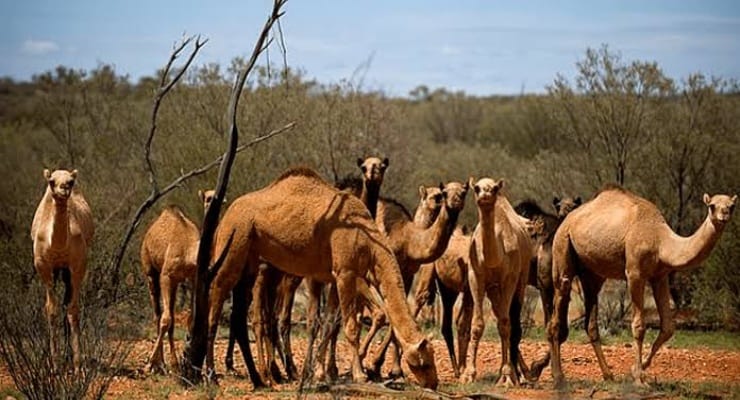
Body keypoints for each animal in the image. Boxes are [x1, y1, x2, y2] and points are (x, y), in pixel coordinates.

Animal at [31, 168, 94, 368]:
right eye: (51, 181)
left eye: (71, 182)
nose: (64, 188)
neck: (57, 246)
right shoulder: (43, 266)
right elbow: (51, 310)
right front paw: (55, 364)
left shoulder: (77, 265)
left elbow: (73, 310)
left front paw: (77, 364)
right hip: (58, 270)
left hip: (66, 271)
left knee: (67, 302)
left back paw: (69, 355)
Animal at [140, 189, 217, 374]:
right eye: (207, 198)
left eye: (216, 196)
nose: (214, 200)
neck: (189, 251)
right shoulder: (166, 276)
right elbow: (165, 319)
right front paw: (149, 363)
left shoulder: (193, 277)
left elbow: (188, 318)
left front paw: (180, 362)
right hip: (150, 270)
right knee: (158, 314)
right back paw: (159, 364)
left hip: (175, 284)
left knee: (172, 318)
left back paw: (172, 364)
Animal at [207, 167, 440, 390]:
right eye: (425, 362)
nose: (434, 383)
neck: (370, 244)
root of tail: (227, 214)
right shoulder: (346, 273)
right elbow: (351, 327)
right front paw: (359, 375)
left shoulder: (335, 277)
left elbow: (328, 323)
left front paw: (319, 374)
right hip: (234, 242)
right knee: (217, 296)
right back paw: (214, 376)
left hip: (251, 260)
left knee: (240, 315)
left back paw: (260, 380)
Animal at [462, 177, 532, 386]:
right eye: (476, 188)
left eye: (493, 189)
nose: (485, 195)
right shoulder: (475, 277)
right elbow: (477, 324)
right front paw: (468, 374)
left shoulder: (510, 278)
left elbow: (504, 324)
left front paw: (507, 376)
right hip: (494, 291)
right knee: (502, 314)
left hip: (521, 278)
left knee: (512, 321)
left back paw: (521, 375)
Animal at [548, 186, 736, 386]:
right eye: (712, 206)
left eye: (732, 206)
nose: (724, 216)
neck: (660, 240)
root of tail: (566, 221)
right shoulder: (635, 273)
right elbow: (639, 326)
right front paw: (638, 377)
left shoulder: (660, 276)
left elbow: (668, 327)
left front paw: (638, 368)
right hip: (562, 246)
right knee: (559, 300)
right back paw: (559, 377)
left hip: (592, 273)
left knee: (590, 321)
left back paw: (608, 375)